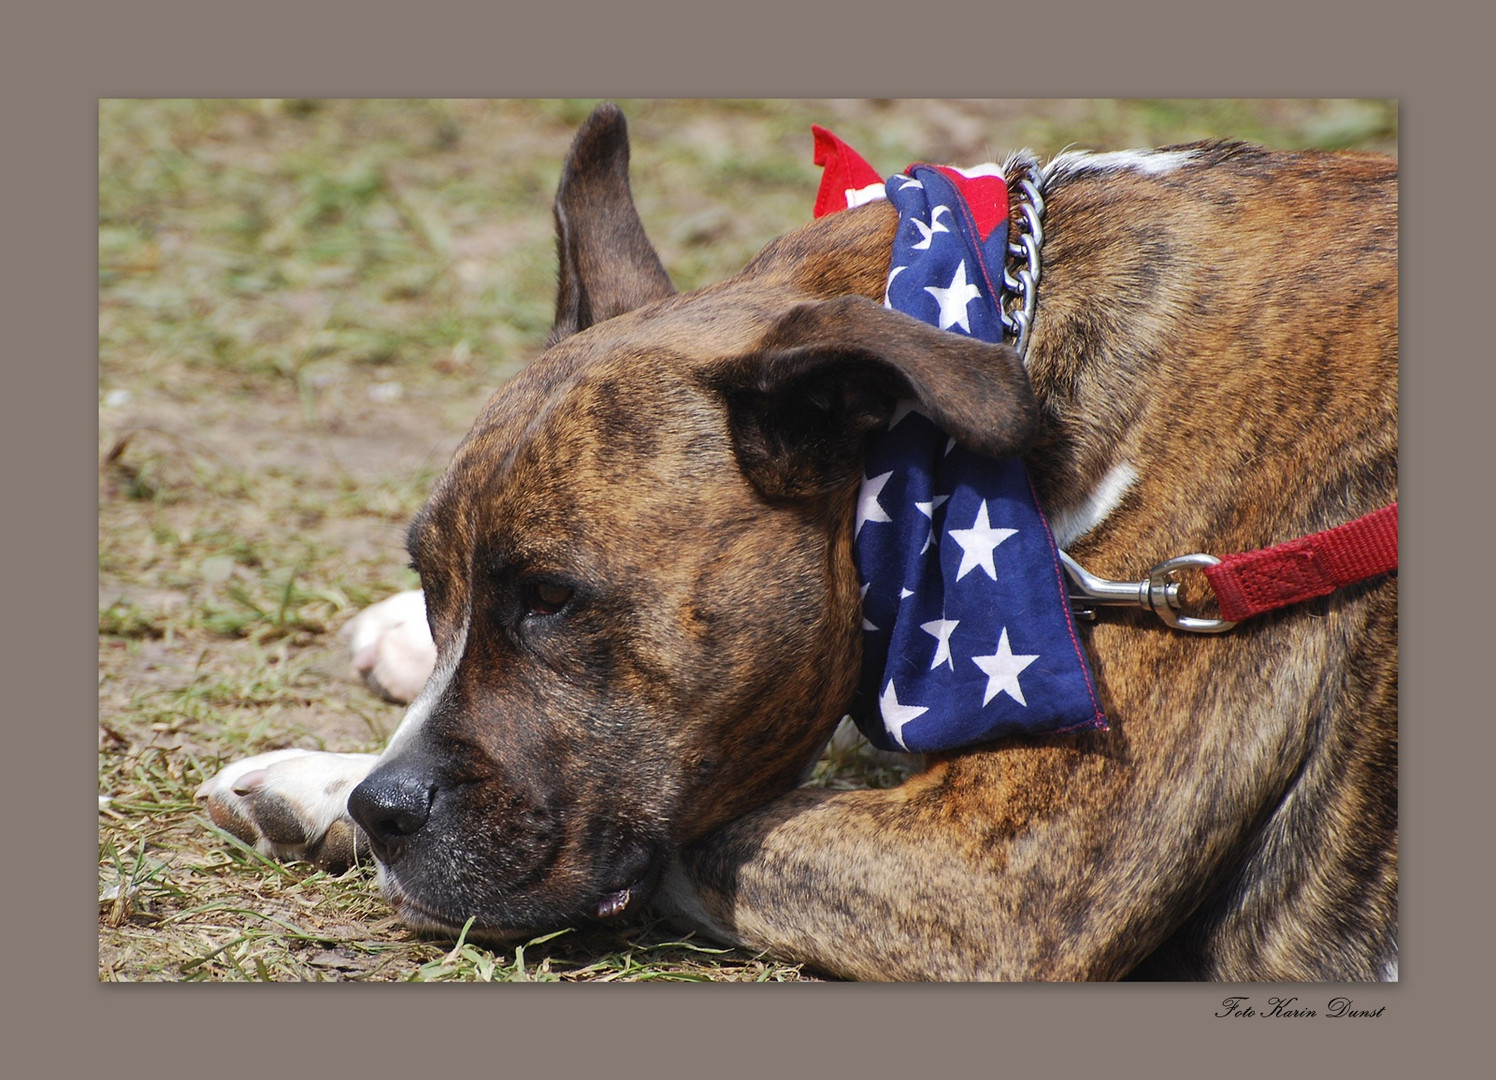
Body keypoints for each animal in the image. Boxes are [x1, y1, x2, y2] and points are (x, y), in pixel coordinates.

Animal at [192, 105, 1394, 981]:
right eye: (435, 583)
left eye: (554, 599)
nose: (385, 811)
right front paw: (335, 765)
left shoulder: (1001, 877)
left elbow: (714, 829)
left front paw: (334, 787)